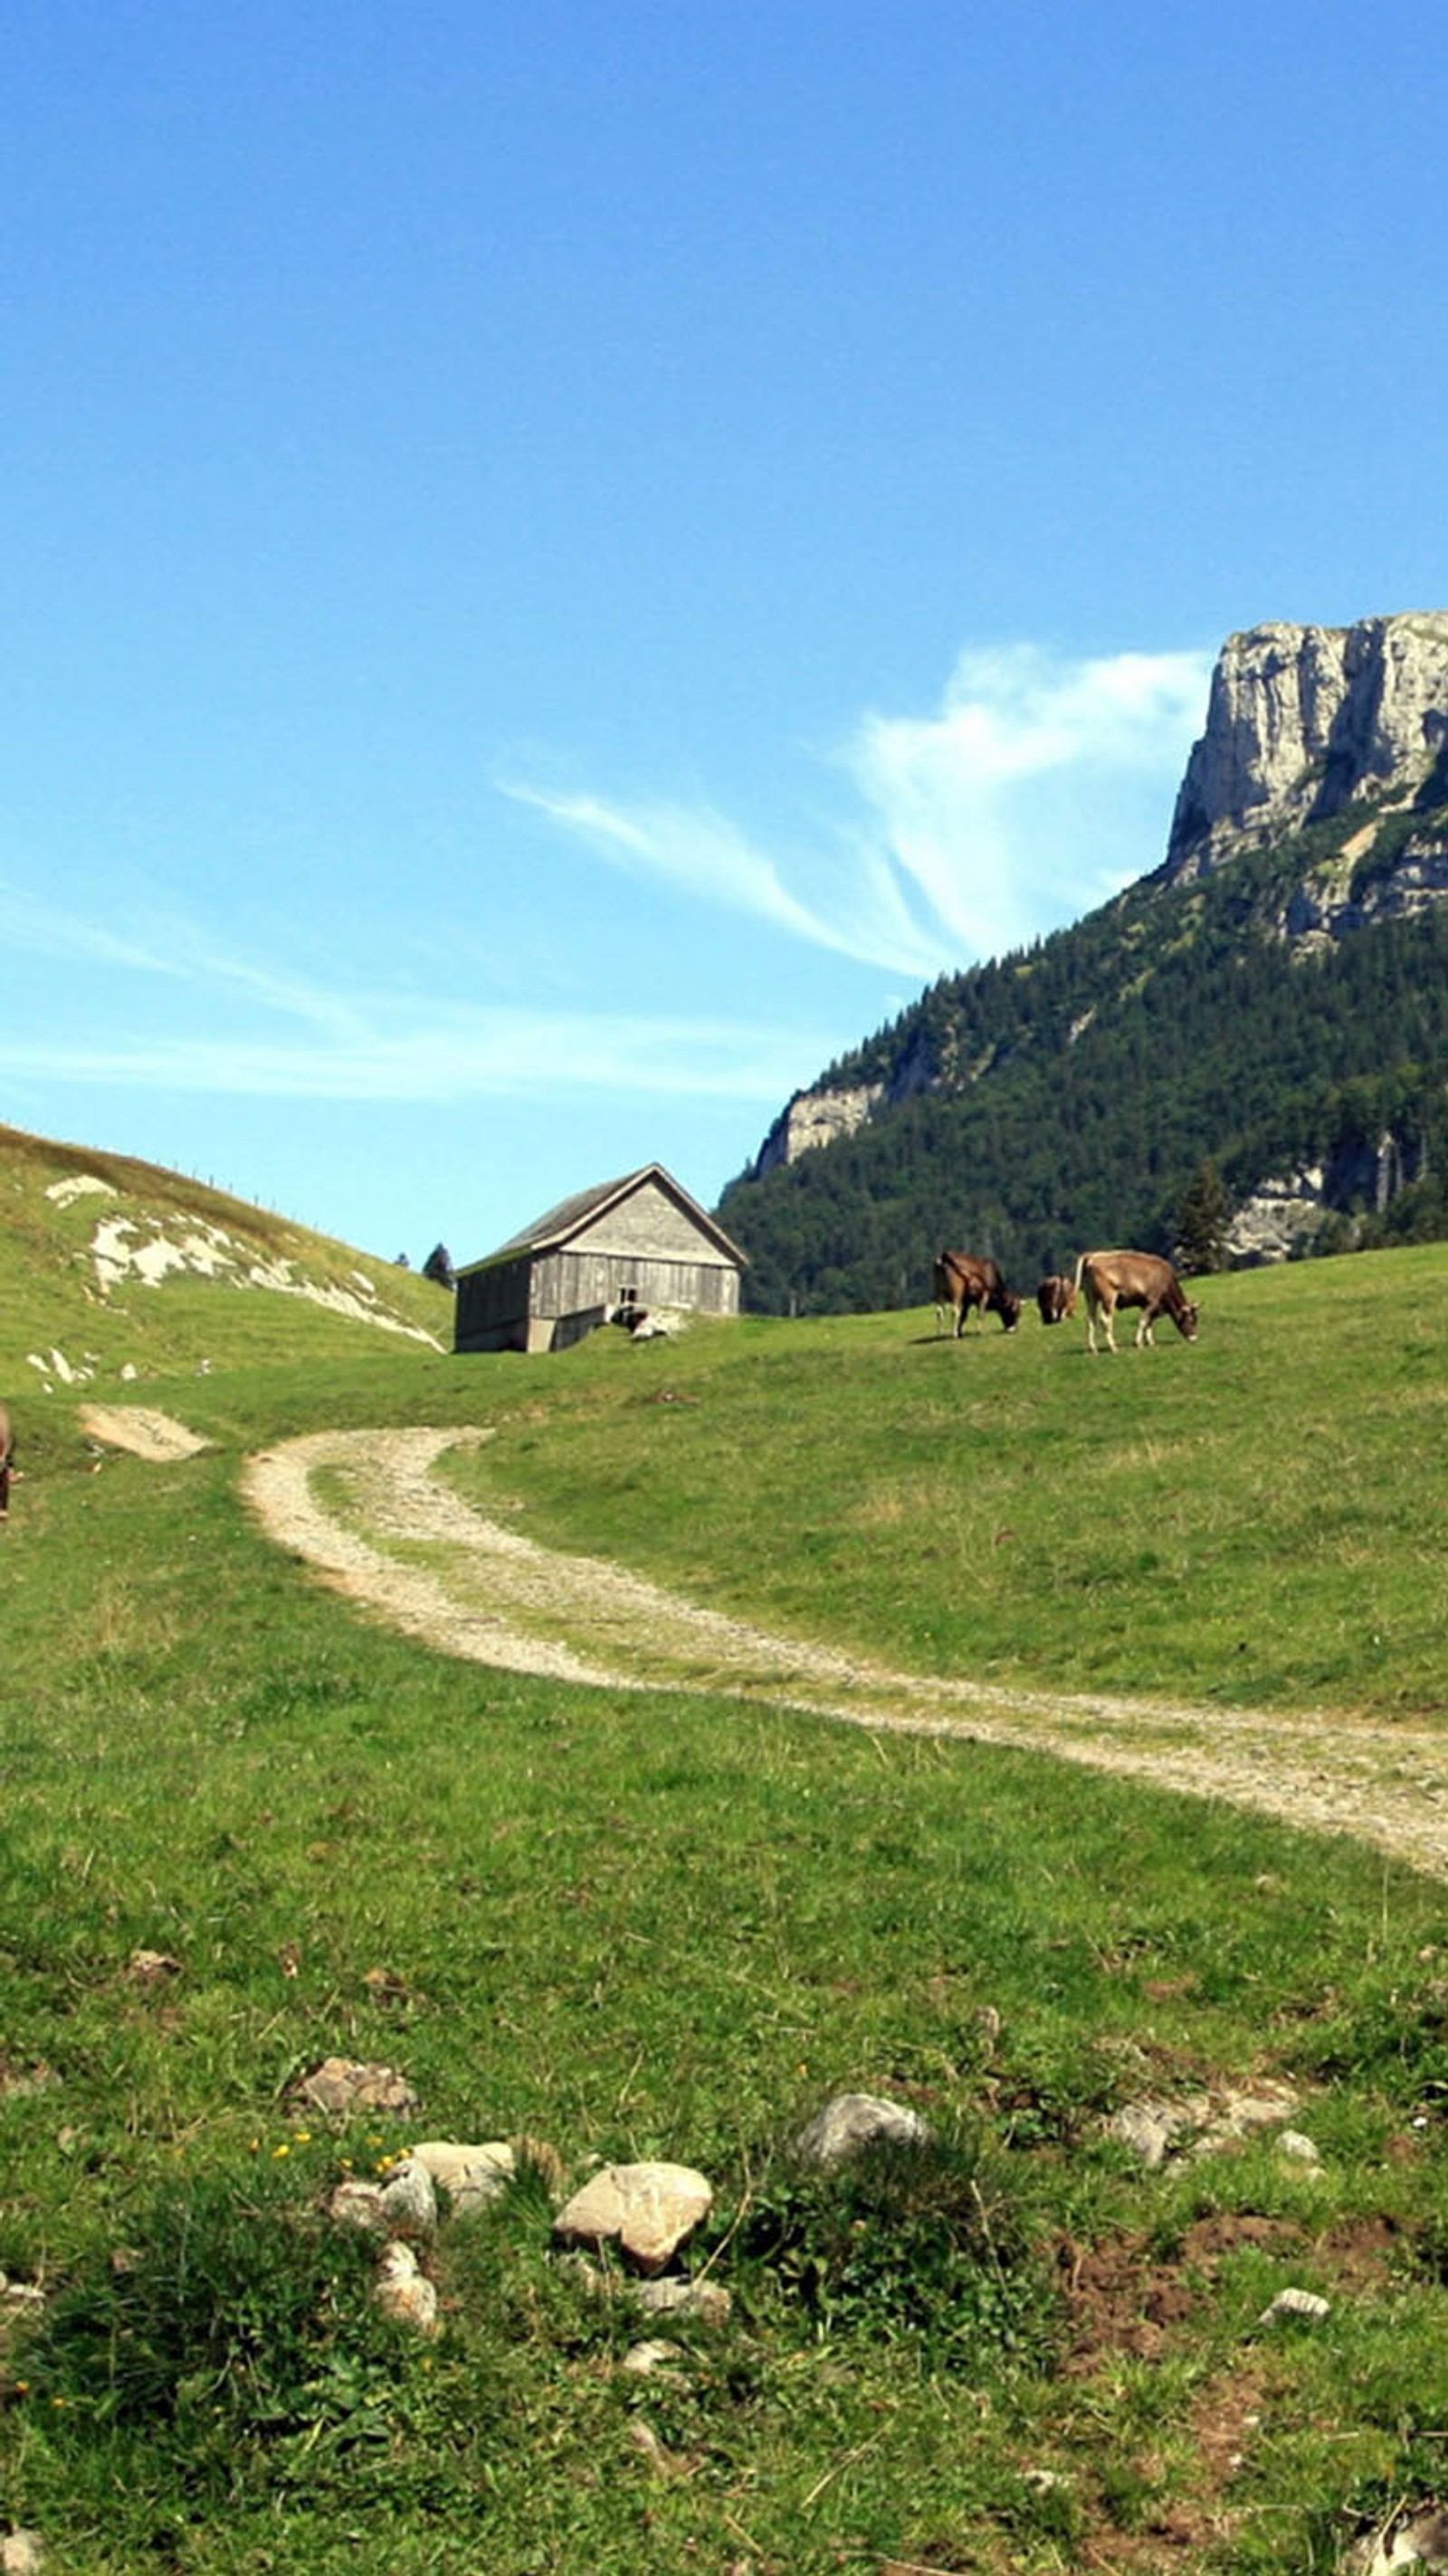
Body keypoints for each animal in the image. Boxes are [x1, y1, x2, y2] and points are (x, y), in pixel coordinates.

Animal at [1072, 1241, 1195, 1350]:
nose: (1194, 1338)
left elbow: (1148, 1322)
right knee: (1105, 1320)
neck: (1164, 1278)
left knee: (1090, 1319)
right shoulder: (1152, 1302)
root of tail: (1093, 1256)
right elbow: (1143, 1321)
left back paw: (1093, 1348)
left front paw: (1150, 1342)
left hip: (1091, 1297)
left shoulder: (1146, 1305)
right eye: (1192, 1320)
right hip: (1108, 1298)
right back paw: (1113, 1347)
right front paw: (1138, 1343)